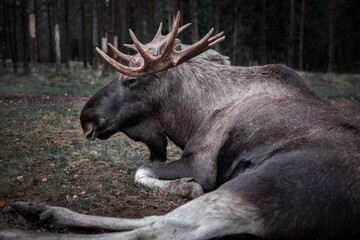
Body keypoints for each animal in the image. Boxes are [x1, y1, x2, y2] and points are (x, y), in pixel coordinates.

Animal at [1, 12, 358, 240]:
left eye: (133, 79)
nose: (85, 117)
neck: (195, 114)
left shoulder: (200, 160)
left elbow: (141, 172)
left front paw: (187, 185)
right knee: (155, 219)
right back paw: (37, 210)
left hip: (263, 184)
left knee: (159, 228)